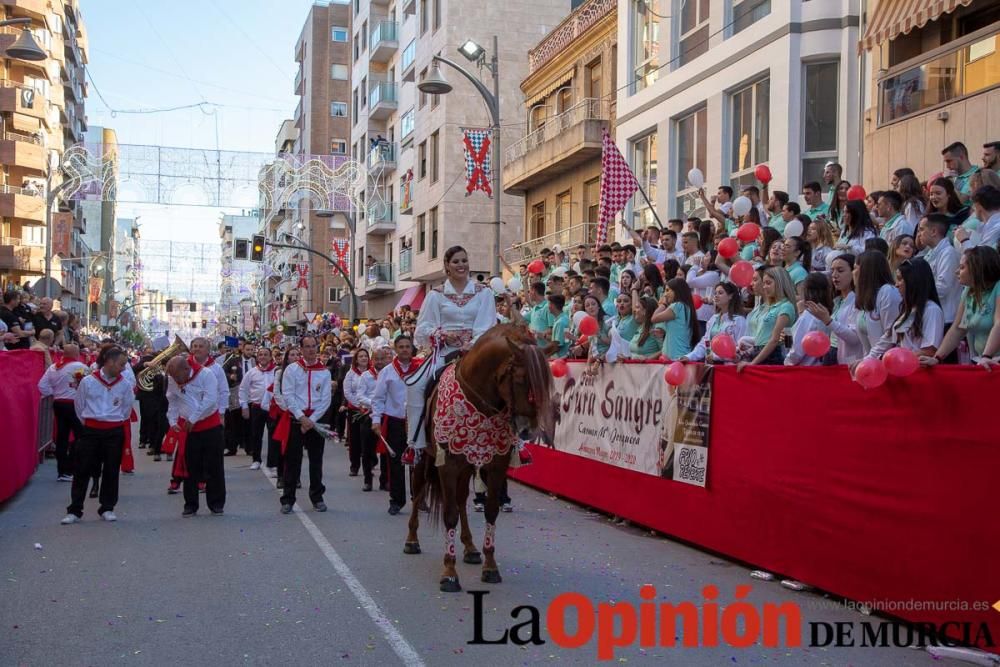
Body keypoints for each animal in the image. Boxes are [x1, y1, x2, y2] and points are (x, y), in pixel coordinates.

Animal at [402, 326, 556, 592]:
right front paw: (449, 573)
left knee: (461, 498)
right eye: (520, 379)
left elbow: (491, 511)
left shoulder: (495, 466)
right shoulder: (448, 464)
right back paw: (412, 540)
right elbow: (449, 514)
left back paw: (471, 548)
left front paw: (490, 567)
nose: (528, 430)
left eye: (545, 384)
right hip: (423, 459)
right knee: (418, 491)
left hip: (466, 466)